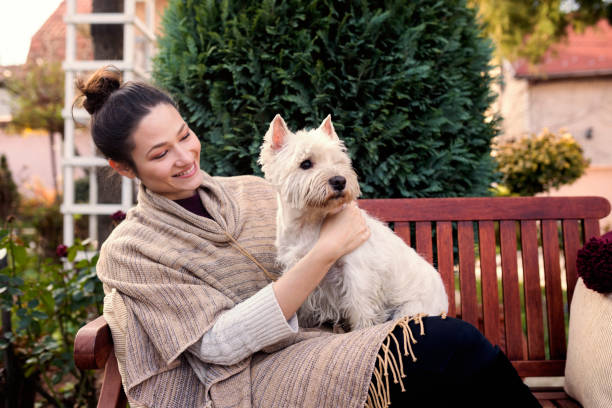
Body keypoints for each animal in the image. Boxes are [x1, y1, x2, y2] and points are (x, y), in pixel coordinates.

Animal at [258, 113, 450, 330]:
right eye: (306, 163)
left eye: (338, 161)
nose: (339, 181)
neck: (308, 223)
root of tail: (445, 300)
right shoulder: (300, 268)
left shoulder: (357, 271)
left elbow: (360, 306)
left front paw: (362, 328)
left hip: (410, 308)